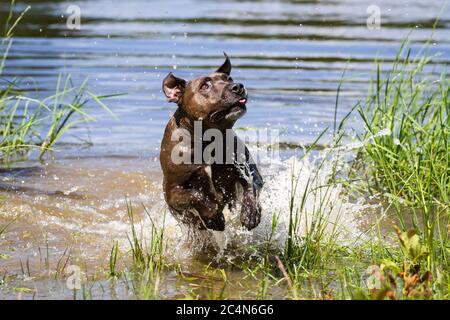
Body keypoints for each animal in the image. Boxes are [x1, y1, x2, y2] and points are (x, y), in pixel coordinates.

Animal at [160, 53, 264, 231]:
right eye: (205, 86)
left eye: (229, 78)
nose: (238, 86)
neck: (207, 141)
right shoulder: (173, 191)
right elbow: (195, 196)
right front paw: (214, 216)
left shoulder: (250, 171)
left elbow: (251, 184)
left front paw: (250, 213)